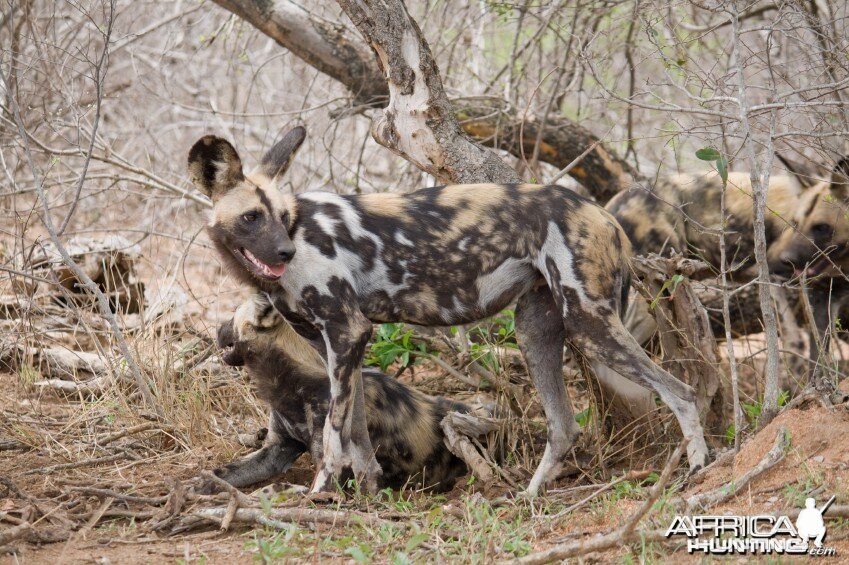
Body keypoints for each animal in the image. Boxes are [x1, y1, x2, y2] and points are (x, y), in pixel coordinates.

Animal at [205, 294, 470, 492]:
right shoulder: (275, 452)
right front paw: (198, 487)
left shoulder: (331, 480)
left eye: (232, 314)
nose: (216, 329)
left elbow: (275, 488)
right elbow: (223, 473)